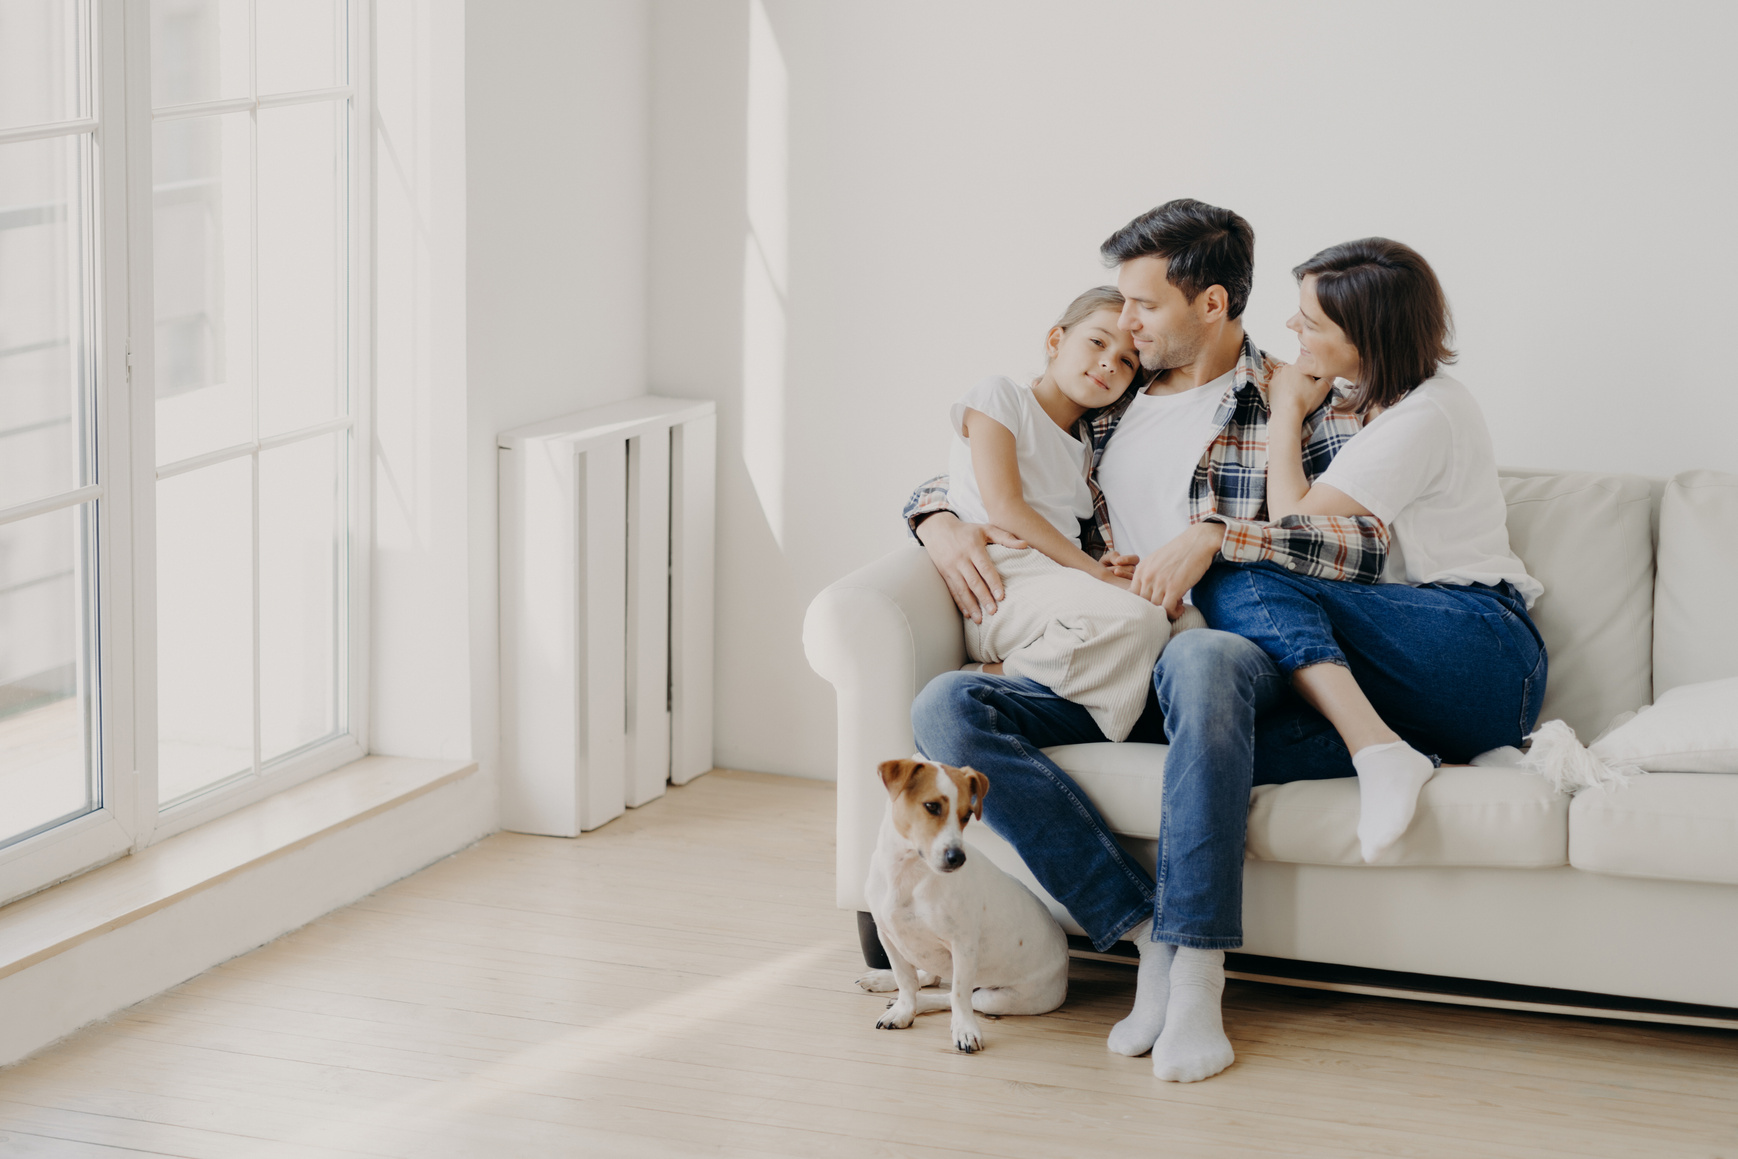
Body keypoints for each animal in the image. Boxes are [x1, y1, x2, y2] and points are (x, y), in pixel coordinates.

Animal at [858, 757, 1063, 1056]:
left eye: (967, 815)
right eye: (932, 806)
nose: (957, 857)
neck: (910, 874)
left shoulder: (962, 946)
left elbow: (956, 994)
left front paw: (963, 1030)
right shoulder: (888, 936)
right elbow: (905, 980)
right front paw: (903, 1010)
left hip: (998, 998)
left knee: (953, 996)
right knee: (928, 976)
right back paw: (883, 981)